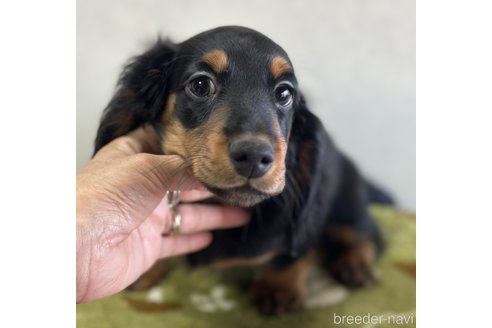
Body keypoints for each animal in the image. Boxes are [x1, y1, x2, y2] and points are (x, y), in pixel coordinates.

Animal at [92, 26, 392, 316]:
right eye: (200, 85)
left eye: (284, 93)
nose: (254, 157)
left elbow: (296, 252)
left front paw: (278, 287)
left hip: (346, 208)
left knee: (371, 234)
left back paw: (356, 262)